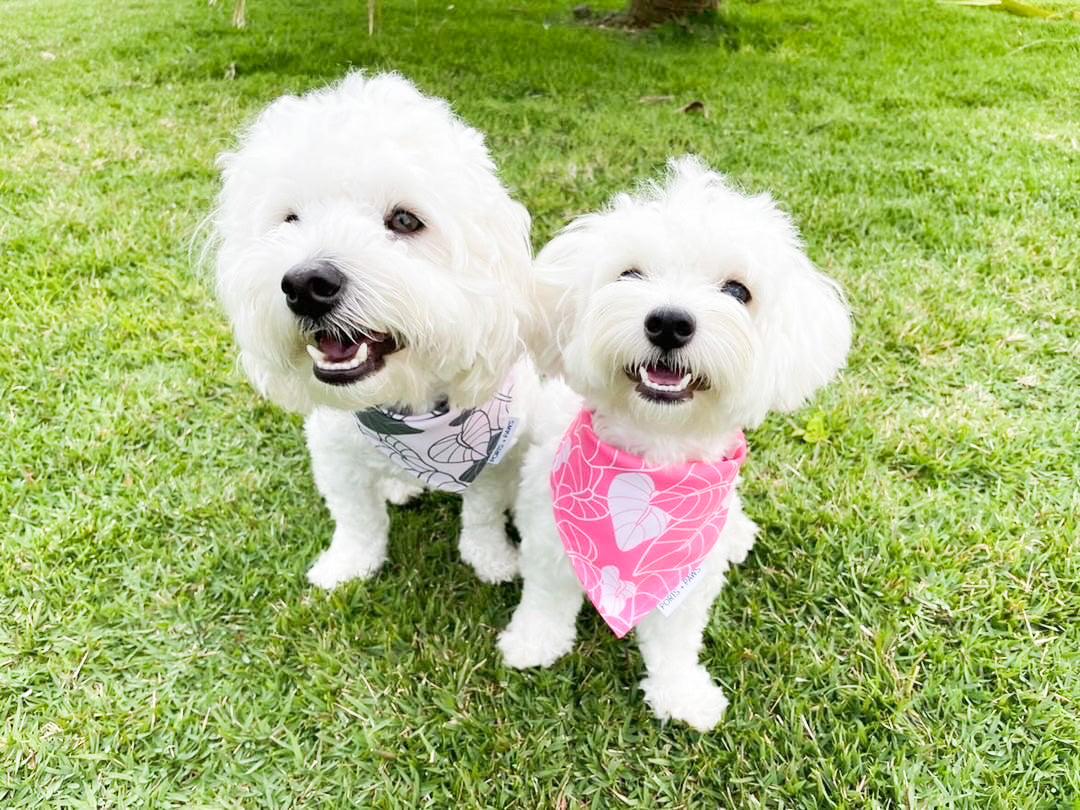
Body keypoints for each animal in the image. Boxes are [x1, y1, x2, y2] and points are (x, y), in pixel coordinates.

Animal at [212, 72, 537, 587]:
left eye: (404, 220)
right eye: (290, 219)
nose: (305, 284)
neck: (404, 405)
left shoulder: (496, 461)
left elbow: (483, 516)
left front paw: (492, 560)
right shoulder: (335, 456)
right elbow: (356, 519)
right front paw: (348, 565)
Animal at [496, 155, 851, 734]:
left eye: (737, 291)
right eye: (629, 275)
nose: (669, 321)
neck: (651, 456)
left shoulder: (684, 570)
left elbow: (677, 641)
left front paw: (682, 693)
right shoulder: (549, 537)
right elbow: (546, 598)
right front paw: (533, 642)